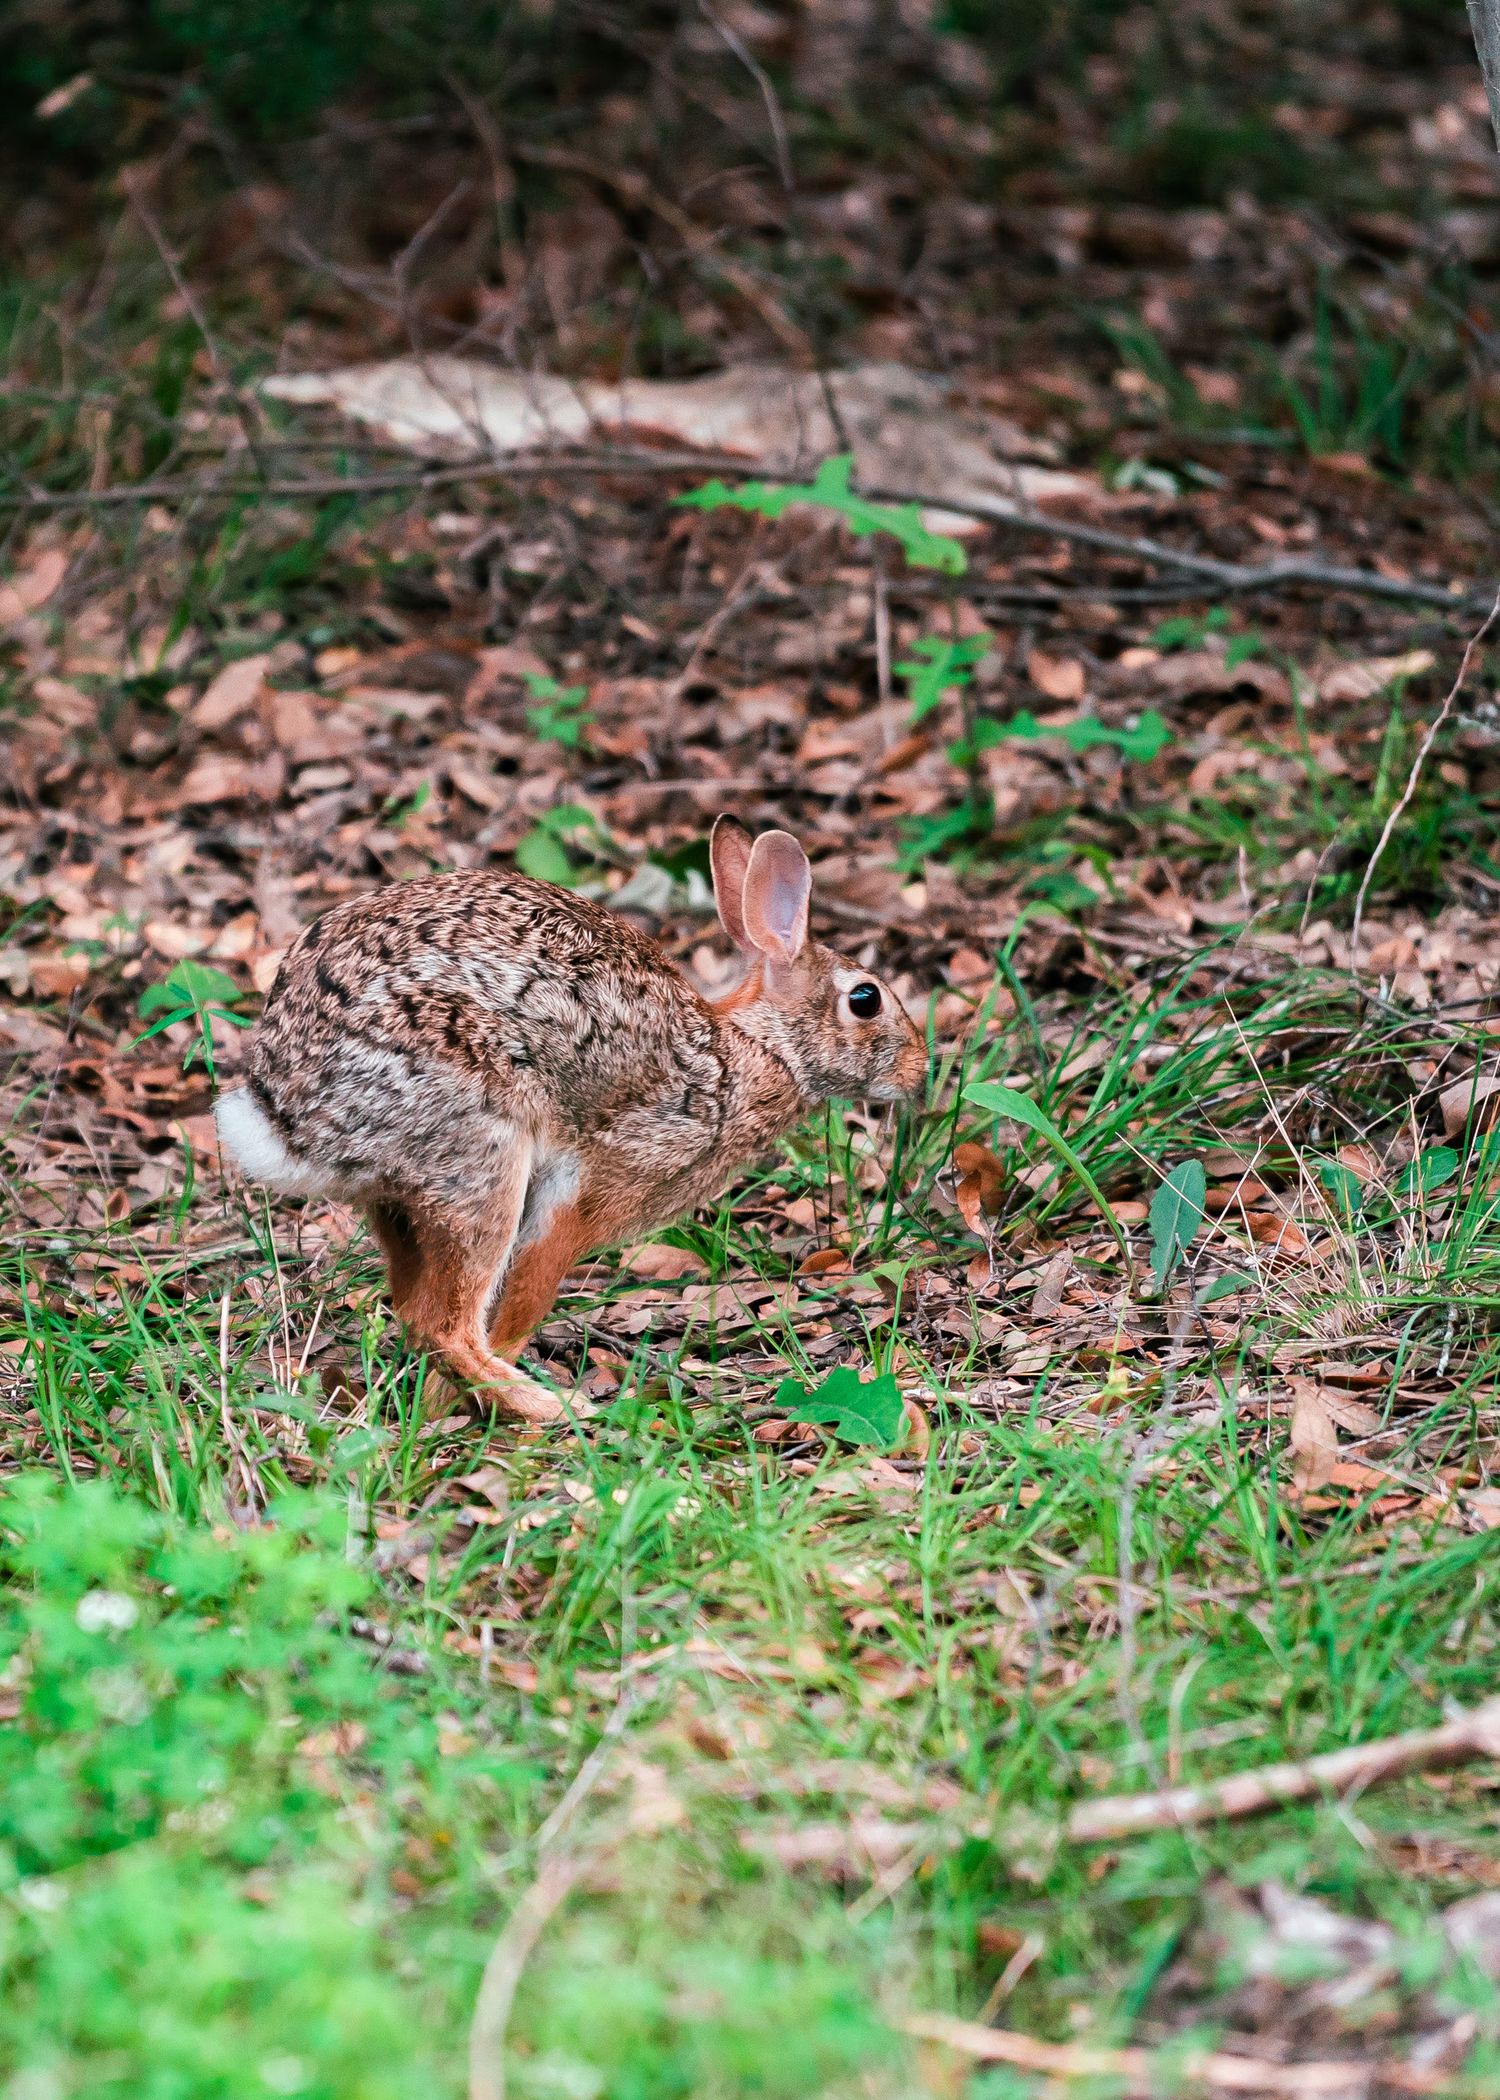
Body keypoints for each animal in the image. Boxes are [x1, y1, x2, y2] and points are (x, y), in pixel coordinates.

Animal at [214, 817, 927, 1422]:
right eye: (866, 999)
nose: (918, 1071)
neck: (756, 1049)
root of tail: (288, 1113)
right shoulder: (598, 1189)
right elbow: (524, 1302)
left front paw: (445, 1412)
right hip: (482, 1158)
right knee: (443, 1323)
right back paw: (555, 1409)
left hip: (397, 1203)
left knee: (413, 1307)